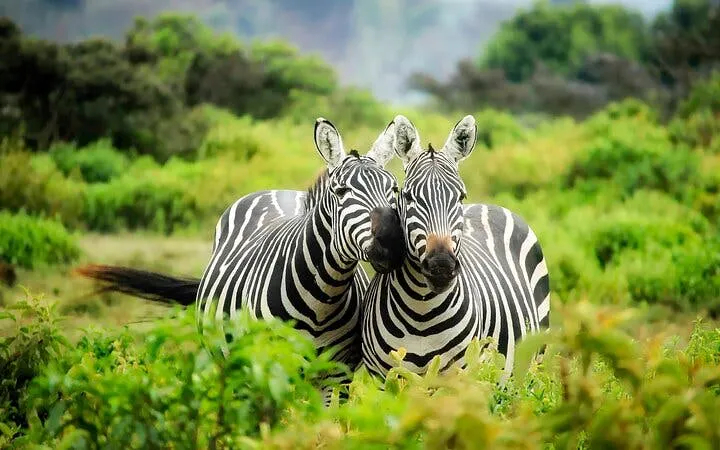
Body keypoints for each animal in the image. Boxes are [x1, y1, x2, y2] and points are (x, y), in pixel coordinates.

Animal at [76, 117, 406, 393]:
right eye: (340, 192)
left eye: (394, 189)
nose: (392, 242)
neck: (322, 299)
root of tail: (278, 190)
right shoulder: (269, 367)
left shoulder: (337, 376)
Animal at [360, 114, 551, 380]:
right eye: (408, 196)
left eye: (460, 196)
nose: (441, 266)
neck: (421, 312)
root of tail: (491, 205)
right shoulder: (382, 378)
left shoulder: (459, 376)